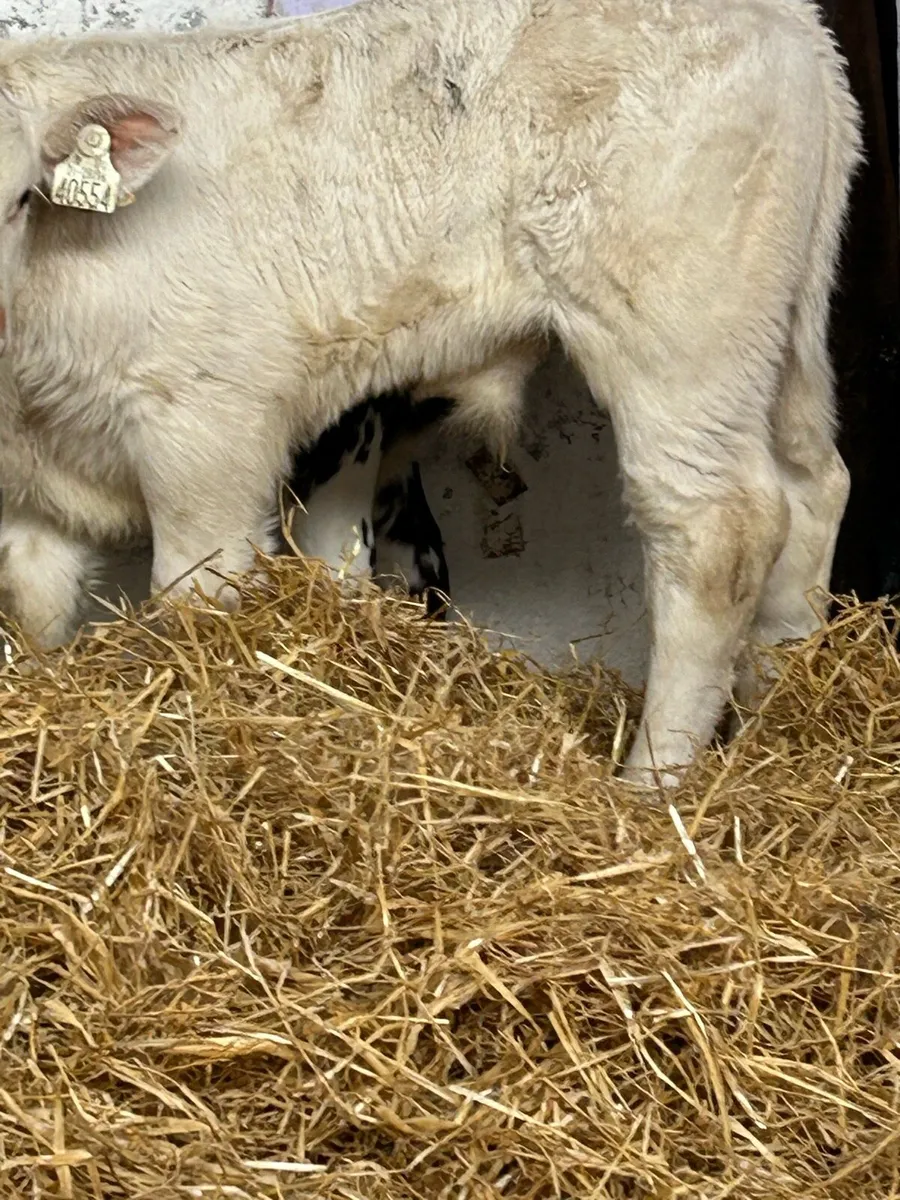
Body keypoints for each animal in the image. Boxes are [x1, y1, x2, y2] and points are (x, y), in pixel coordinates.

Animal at [0, 0, 862, 784]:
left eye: (18, 198)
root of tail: (789, 19)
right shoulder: (28, 491)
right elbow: (32, 608)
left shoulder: (206, 437)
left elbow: (194, 602)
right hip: (782, 345)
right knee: (813, 491)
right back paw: (774, 717)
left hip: (681, 338)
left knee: (719, 527)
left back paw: (653, 783)